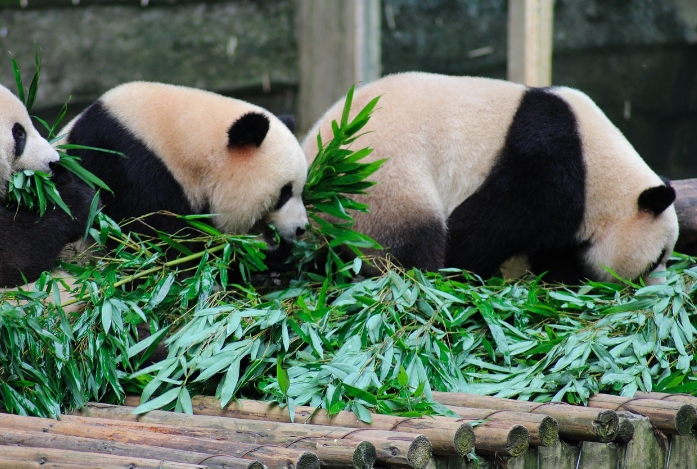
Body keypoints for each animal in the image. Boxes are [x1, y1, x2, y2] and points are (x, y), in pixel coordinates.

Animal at [302, 72, 679, 285]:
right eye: (656, 258)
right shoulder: (549, 167)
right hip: (381, 182)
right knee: (406, 244)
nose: (656, 288)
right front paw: (462, 272)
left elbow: (556, 253)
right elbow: (488, 225)